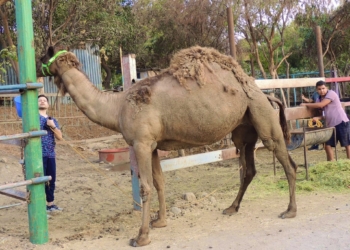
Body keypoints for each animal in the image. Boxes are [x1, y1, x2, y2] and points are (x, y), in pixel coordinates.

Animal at [36, 46, 298, 247]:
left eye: (41, 57)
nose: (37, 74)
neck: (117, 106)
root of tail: (266, 95)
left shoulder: (141, 143)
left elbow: (145, 187)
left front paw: (141, 237)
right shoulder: (153, 145)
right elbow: (160, 182)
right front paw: (160, 221)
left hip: (263, 117)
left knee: (287, 162)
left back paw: (289, 211)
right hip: (244, 129)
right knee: (248, 168)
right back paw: (231, 208)